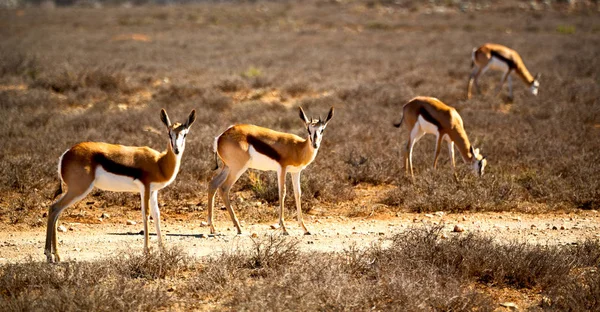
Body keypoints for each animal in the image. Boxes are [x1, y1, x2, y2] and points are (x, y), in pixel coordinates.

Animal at [45, 108, 195, 262]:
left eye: (185, 134)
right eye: (169, 133)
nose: (176, 150)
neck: (159, 163)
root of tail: (66, 154)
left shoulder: (153, 191)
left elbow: (157, 215)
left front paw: (163, 250)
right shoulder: (145, 188)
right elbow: (146, 215)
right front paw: (147, 252)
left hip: (74, 190)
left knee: (57, 212)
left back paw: (56, 256)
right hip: (79, 189)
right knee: (54, 208)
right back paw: (49, 255)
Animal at [209, 106, 336, 235]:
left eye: (322, 130)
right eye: (308, 130)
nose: (315, 144)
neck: (298, 148)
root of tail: (220, 137)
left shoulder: (295, 172)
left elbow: (298, 193)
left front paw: (305, 229)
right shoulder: (282, 169)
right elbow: (282, 192)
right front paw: (284, 228)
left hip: (227, 167)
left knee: (213, 184)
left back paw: (213, 228)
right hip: (237, 169)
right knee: (224, 188)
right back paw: (238, 228)